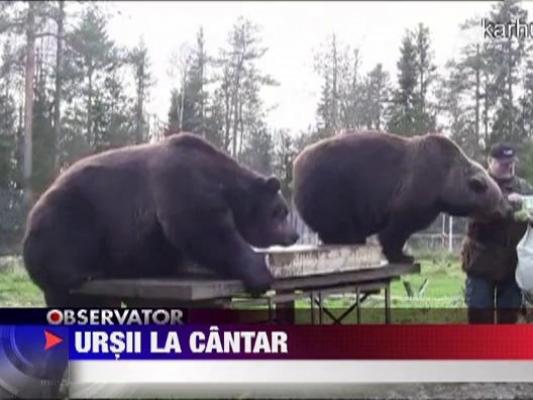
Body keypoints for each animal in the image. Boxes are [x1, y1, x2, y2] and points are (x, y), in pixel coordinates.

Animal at [22, 132, 298, 306]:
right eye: (281, 211)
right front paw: (259, 274)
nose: (293, 235)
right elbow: (203, 229)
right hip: (73, 211)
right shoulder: (182, 183)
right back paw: (83, 272)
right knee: (65, 240)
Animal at [294, 130, 510, 264]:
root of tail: (297, 161)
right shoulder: (415, 190)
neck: (444, 183)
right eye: (499, 198)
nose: (507, 209)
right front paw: (402, 256)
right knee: (339, 223)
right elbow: (397, 228)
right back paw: (352, 239)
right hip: (331, 189)